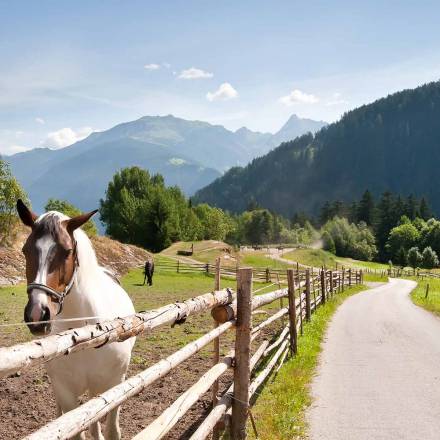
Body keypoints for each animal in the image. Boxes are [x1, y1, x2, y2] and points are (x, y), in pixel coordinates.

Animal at [16, 200, 135, 440]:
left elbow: (111, 431)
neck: (87, 334)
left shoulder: (115, 383)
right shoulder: (66, 394)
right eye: (25, 250)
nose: (37, 315)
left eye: (68, 251)